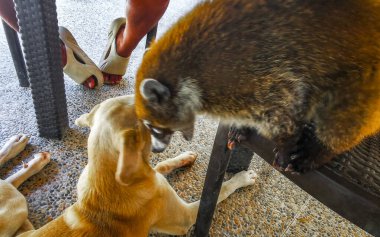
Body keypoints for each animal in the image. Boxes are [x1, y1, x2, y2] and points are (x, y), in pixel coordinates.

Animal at [0, 95, 258, 236]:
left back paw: (26, 153)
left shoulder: (149, 172)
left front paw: (184, 157)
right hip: (17, 208)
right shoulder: (184, 217)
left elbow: (162, 165)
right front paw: (242, 178)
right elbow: (222, 190)